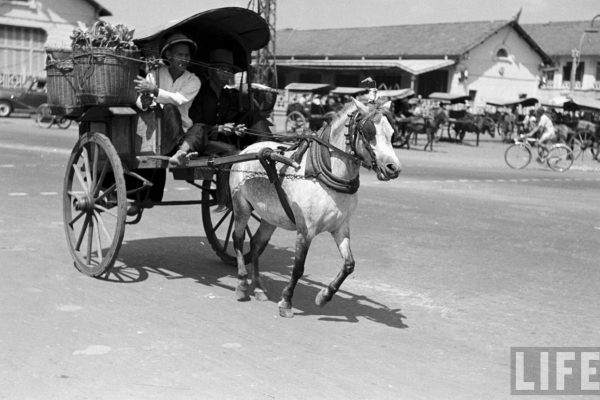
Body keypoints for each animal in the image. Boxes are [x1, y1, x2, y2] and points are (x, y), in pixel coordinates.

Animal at [230, 98, 404, 318]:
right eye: (368, 132)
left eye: (391, 133)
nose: (393, 168)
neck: (323, 175)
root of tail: (247, 149)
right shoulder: (306, 230)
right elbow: (298, 268)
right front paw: (286, 301)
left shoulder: (340, 227)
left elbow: (349, 264)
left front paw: (324, 296)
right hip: (241, 206)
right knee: (238, 239)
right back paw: (242, 283)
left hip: (271, 217)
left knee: (256, 245)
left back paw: (259, 288)